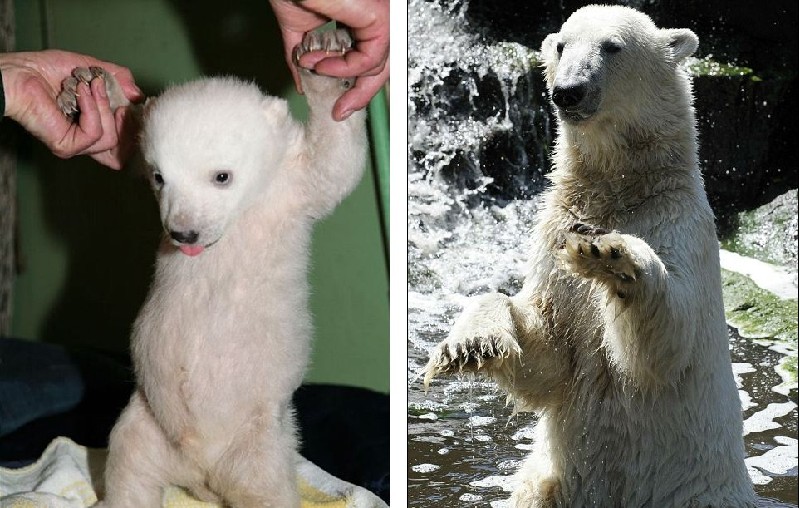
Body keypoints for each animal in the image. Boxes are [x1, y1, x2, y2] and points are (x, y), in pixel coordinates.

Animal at [69, 29, 367, 507]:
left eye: (221, 176)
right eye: (159, 177)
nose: (184, 233)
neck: (243, 213)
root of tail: (201, 476)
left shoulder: (288, 194)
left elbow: (333, 166)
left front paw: (323, 60)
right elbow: (127, 141)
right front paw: (91, 89)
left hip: (259, 442)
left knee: (267, 489)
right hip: (148, 424)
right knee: (130, 466)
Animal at [423, 6, 757, 507]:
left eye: (612, 46)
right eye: (562, 45)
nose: (568, 91)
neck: (619, 190)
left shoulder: (682, 226)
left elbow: (665, 345)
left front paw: (608, 252)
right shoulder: (552, 228)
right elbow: (548, 354)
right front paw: (471, 343)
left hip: (695, 490)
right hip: (552, 485)